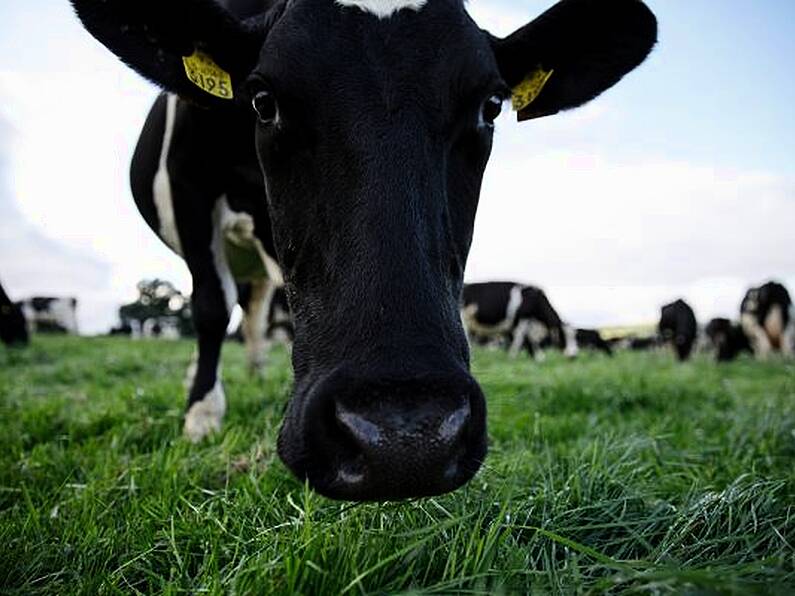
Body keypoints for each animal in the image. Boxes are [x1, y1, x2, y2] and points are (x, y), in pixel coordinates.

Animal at [68, 0, 656, 502]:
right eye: (263, 100)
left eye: (490, 107)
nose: (405, 437)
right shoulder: (187, 187)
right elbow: (211, 306)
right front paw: (201, 415)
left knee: (253, 312)